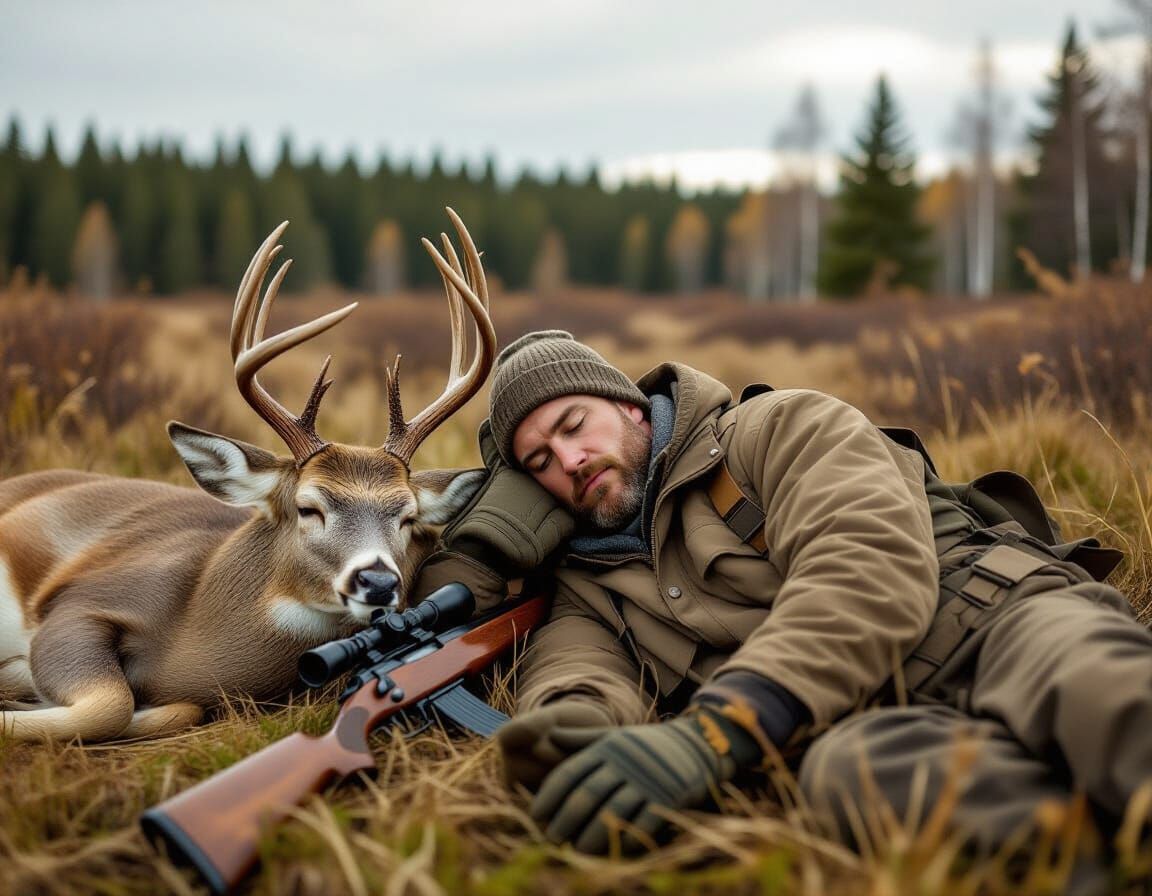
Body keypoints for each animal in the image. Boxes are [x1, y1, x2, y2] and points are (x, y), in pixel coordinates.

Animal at [0, 208, 495, 744]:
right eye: (308, 507)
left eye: (407, 518)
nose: (379, 581)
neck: (190, 626)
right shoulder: (87, 597)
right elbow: (109, 703)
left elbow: (171, 708)